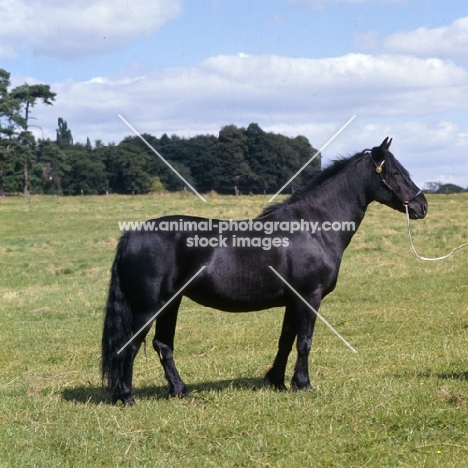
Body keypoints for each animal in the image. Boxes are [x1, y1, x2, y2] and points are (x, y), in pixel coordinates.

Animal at [101, 137, 428, 404]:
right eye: (395, 173)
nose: (422, 206)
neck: (313, 226)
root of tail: (131, 235)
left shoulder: (293, 302)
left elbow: (286, 340)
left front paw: (277, 381)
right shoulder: (309, 298)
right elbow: (304, 342)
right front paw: (303, 384)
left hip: (171, 304)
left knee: (163, 345)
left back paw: (179, 391)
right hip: (149, 307)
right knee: (131, 346)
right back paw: (127, 397)